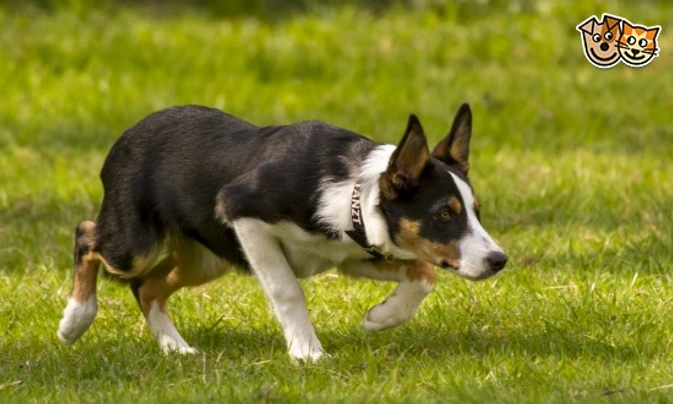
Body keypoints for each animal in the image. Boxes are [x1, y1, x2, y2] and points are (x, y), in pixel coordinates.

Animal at [57, 103, 506, 360]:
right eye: (444, 214)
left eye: (476, 212)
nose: (499, 261)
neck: (353, 192)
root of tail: (127, 134)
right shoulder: (243, 215)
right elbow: (287, 290)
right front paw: (307, 352)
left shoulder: (352, 255)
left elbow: (423, 273)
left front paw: (381, 317)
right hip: (135, 243)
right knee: (87, 235)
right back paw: (76, 320)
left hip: (207, 258)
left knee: (146, 288)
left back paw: (175, 348)